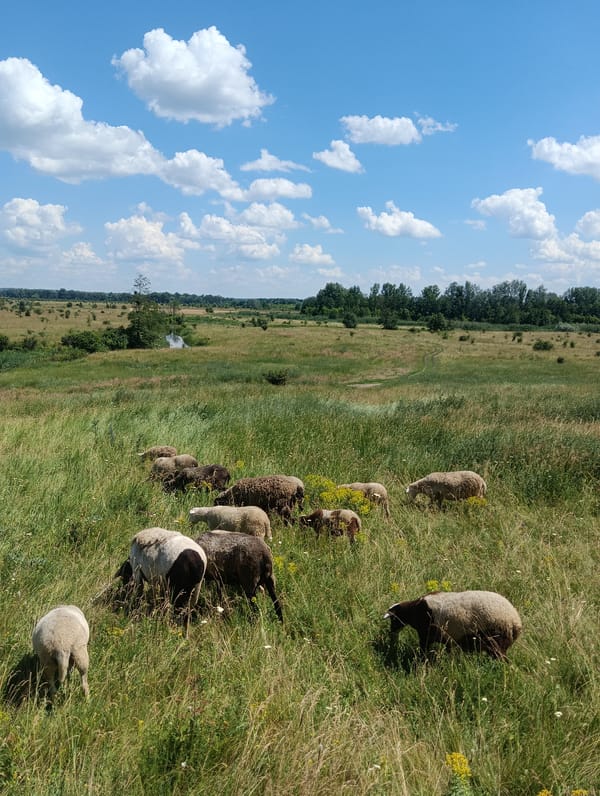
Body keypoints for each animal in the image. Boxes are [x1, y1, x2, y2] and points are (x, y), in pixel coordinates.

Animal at [384, 590, 522, 661]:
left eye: (393, 619)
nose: (392, 632)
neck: (413, 611)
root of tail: (515, 622)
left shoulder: (427, 635)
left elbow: (424, 650)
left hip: (496, 641)